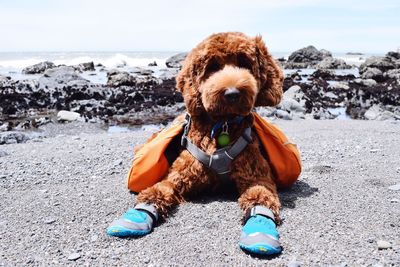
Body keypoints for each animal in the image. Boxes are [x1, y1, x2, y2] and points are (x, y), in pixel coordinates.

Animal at [136, 31, 282, 222]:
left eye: (244, 63)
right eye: (213, 67)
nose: (232, 94)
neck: (223, 125)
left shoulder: (256, 175)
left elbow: (262, 195)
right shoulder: (178, 176)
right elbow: (160, 189)